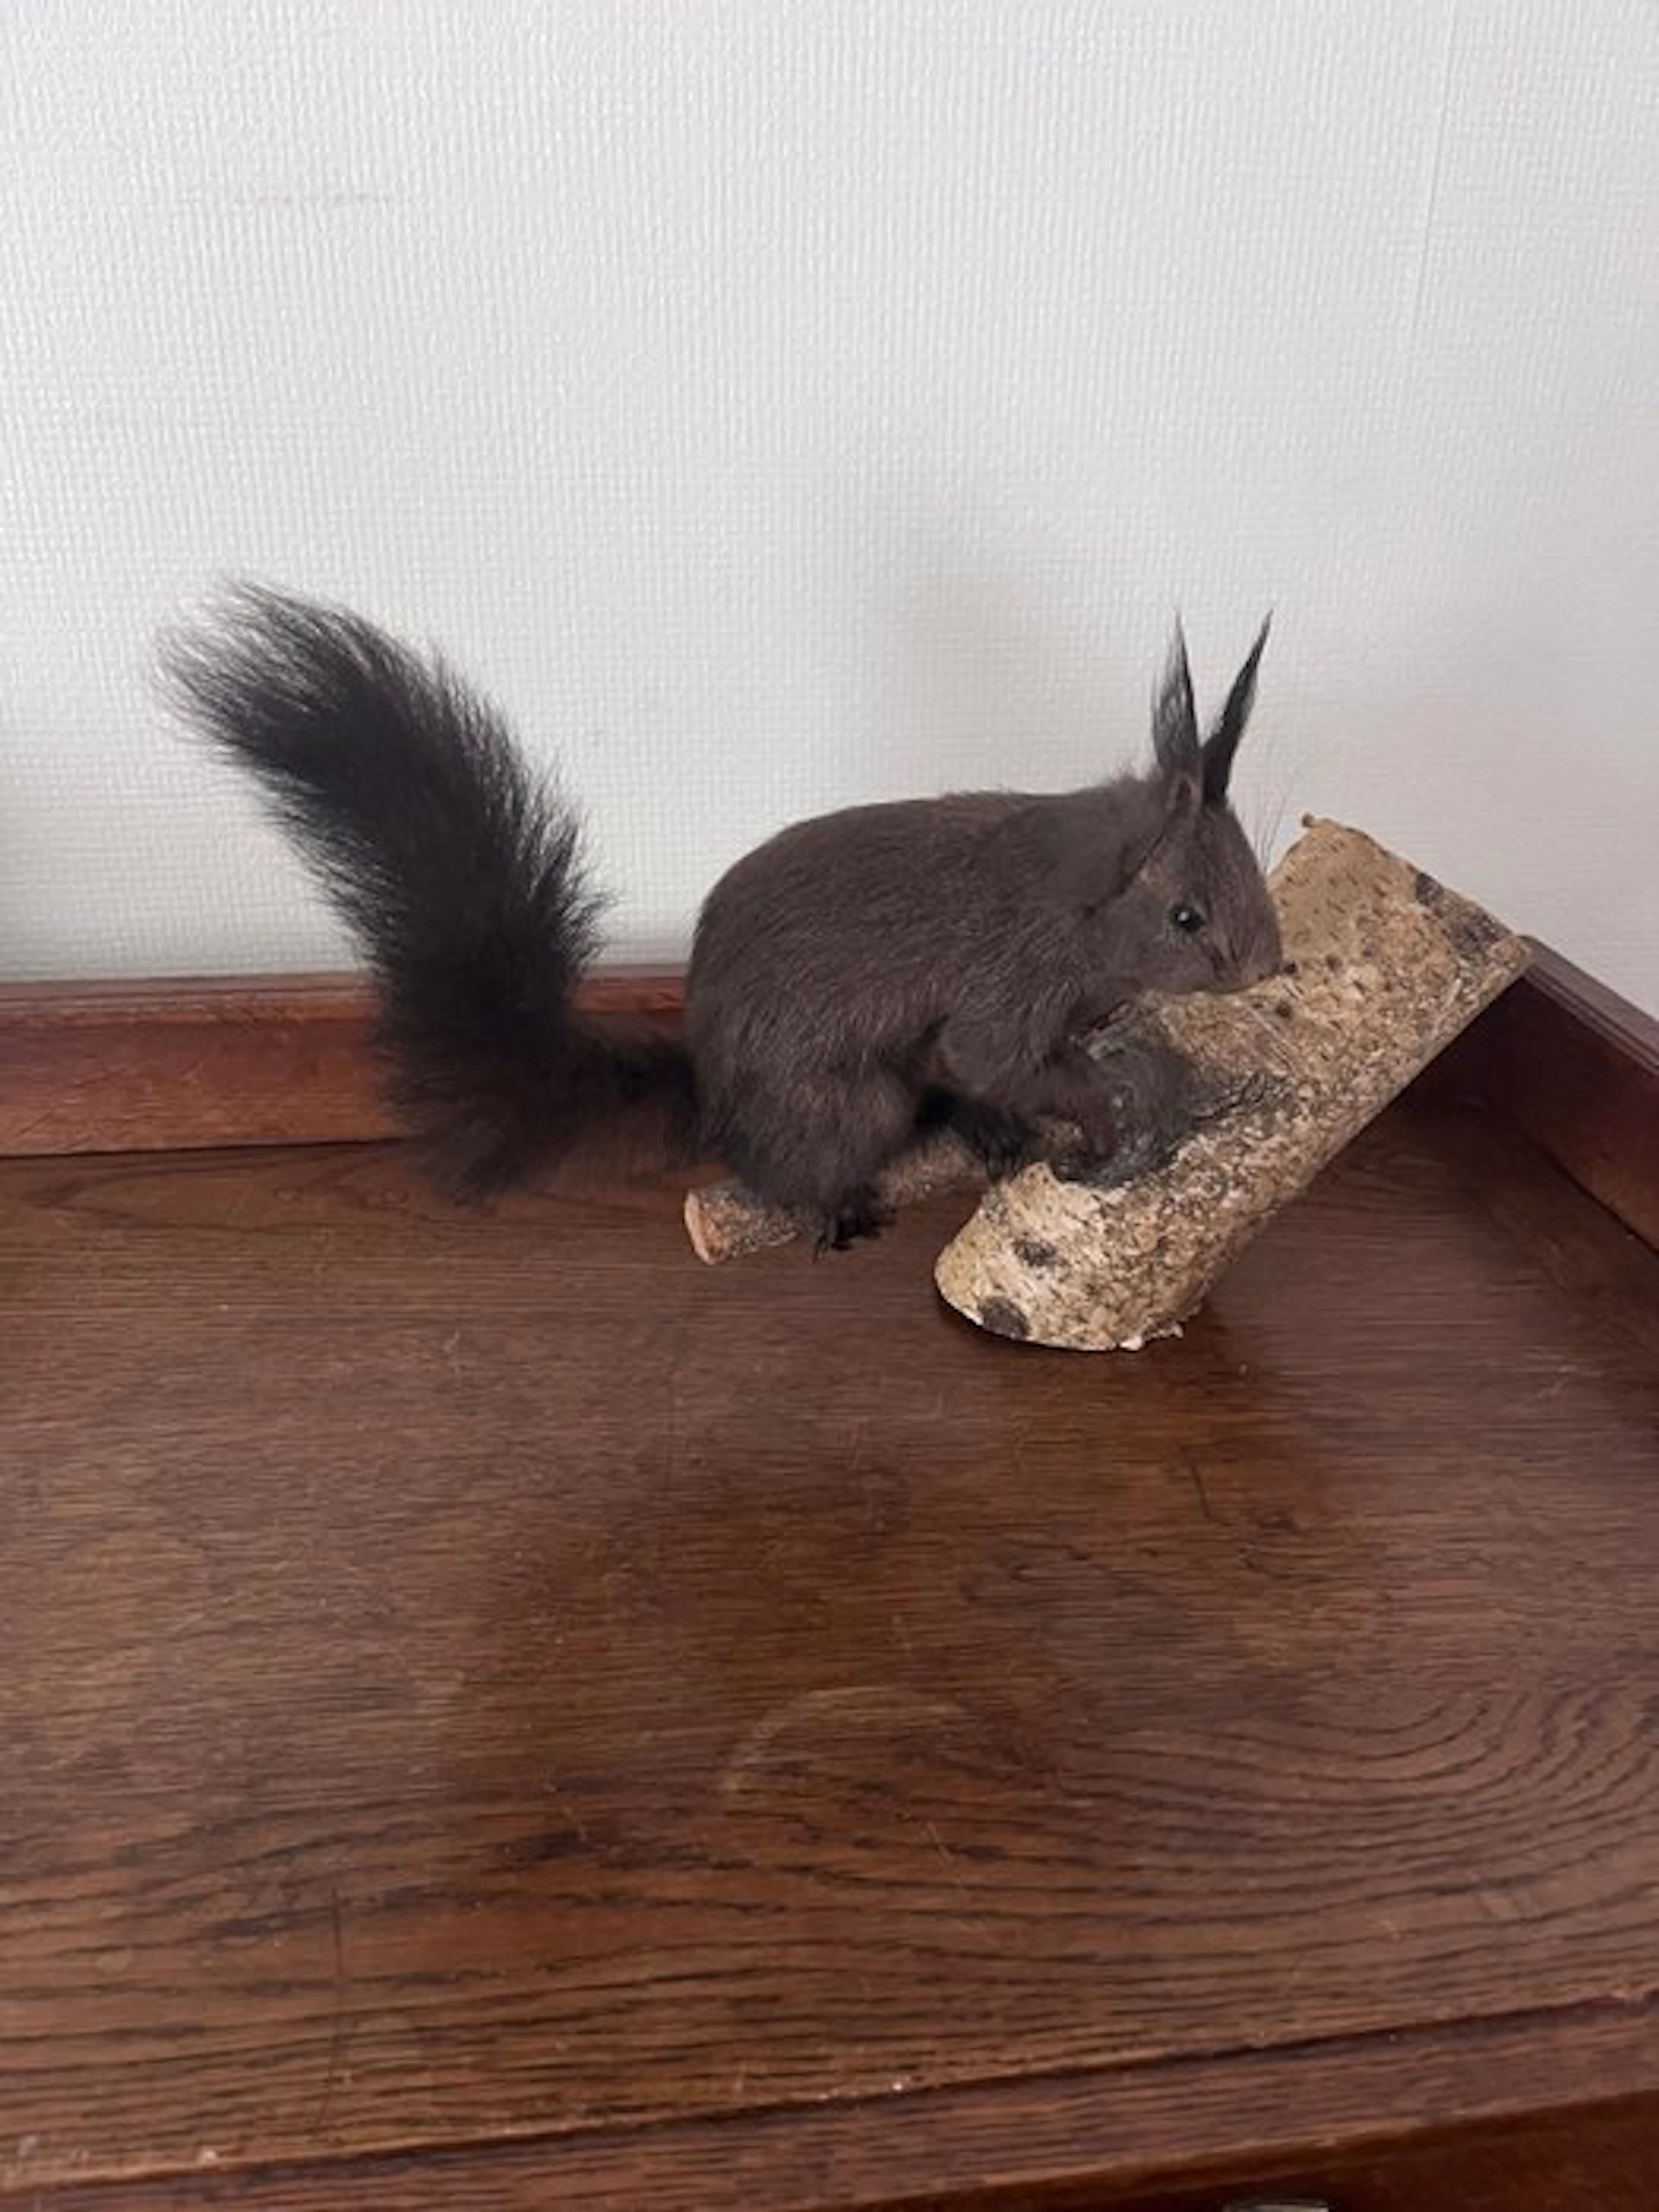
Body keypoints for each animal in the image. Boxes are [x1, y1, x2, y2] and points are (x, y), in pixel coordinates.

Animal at [160, 586, 1282, 1248]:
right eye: (1186, 916)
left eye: (1256, 879)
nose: (1266, 967)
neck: (1082, 901)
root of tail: (719, 1108)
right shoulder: (1006, 983)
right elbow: (998, 1056)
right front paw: (1096, 1106)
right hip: (840, 1104)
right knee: (813, 1157)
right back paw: (833, 1204)